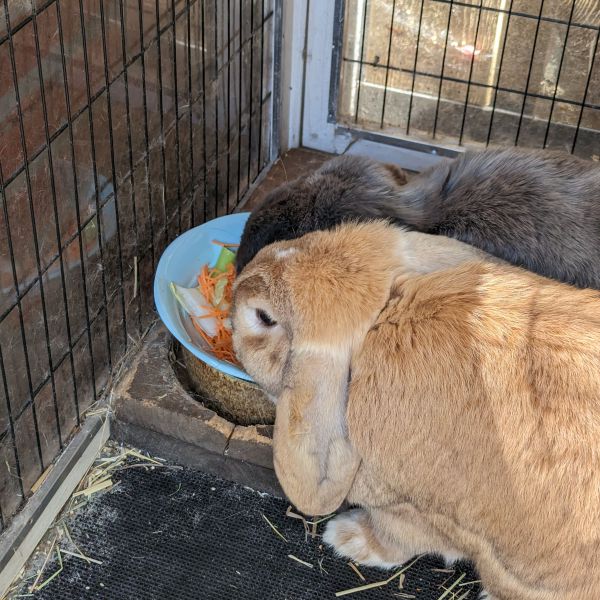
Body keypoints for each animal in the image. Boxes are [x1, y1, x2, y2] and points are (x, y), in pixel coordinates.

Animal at [232, 223, 600, 600]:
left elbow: (395, 538)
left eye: (264, 317)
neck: (384, 319)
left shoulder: (411, 511)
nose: (240, 280)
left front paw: (346, 538)